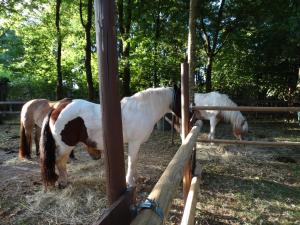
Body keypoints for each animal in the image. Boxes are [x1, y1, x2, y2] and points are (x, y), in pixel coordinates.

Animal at [39, 85, 180, 188]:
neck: (142, 109)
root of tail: (57, 107)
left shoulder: (136, 144)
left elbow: (135, 161)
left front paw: (137, 178)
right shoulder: (134, 142)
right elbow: (131, 161)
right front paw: (130, 182)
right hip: (66, 146)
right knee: (60, 162)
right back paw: (63, 182)